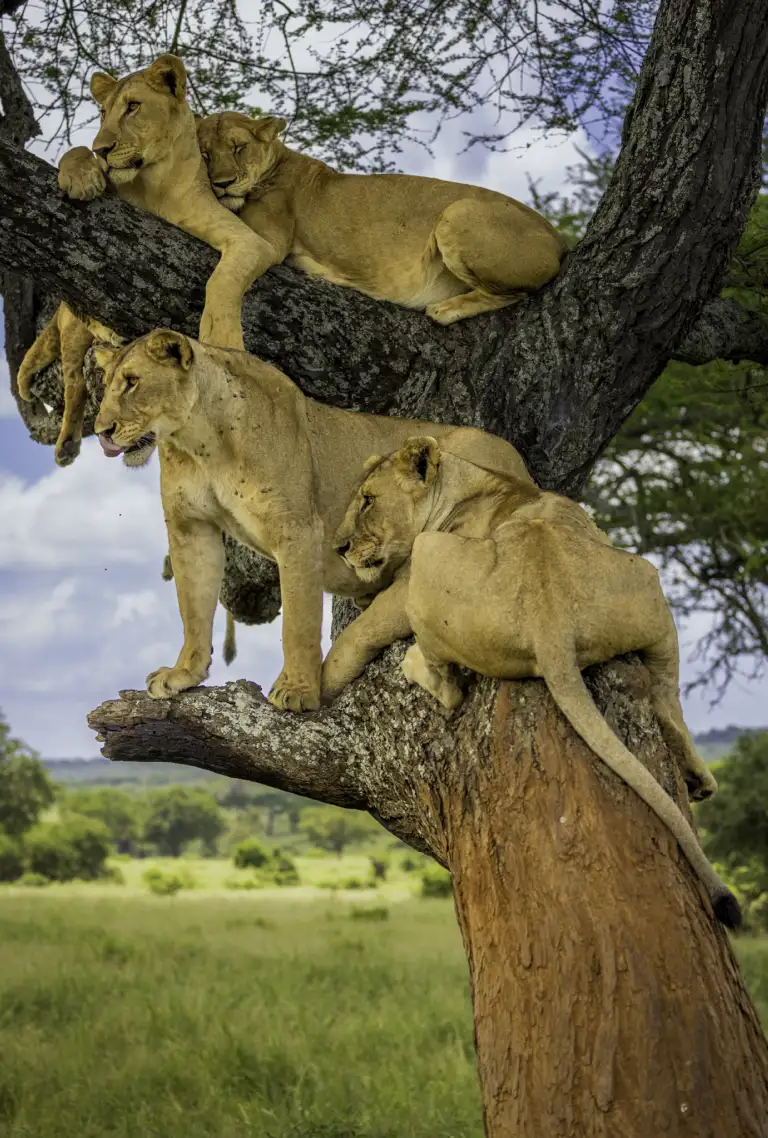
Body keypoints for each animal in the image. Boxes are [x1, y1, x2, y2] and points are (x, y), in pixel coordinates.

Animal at [18, 54, 268, 466]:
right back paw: (68, 439)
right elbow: (73, 150)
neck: (154, 181)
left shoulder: (248, 239)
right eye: (103, 112)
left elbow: (223, 279)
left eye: (133, 106)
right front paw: (82, 175)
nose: (103, 149)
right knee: (73, 378)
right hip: (72, 321)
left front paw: (221, 334)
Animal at [92, 330, 532, 711]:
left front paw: (300, 691)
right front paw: (184, 673)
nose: (101, 431)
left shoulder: (297, 529)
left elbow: (299, 620)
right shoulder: (190, 527)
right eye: (108, 385)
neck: (200, 444)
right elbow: (193, 607)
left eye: (132, 382)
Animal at [196, 111, 568, 325]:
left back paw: (444, 310)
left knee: (517, 293)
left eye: (238, 147)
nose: (222, 183)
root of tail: (559, 238)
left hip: (459, 210)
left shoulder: (269, 240)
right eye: (205, 154)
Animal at [326, 435, 741, 929]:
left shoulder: (405, 580)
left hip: (432, 554)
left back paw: (413, 664)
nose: (339, 547)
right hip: (646, 579)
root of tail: (551, 614)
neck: (465, 482)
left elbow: (363, 627)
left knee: (448, 688)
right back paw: (696, 776)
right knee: (667, 697)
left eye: (368, 499)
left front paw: (310, 683)